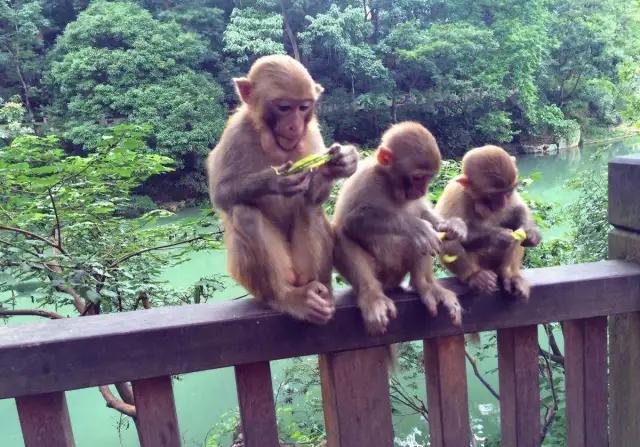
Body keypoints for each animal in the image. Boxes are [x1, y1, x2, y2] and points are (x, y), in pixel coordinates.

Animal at [206, 54, 358, 324]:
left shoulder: (312, 133)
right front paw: (274, 181)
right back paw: (286, 297)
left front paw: (341, 163)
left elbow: (315, 193)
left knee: (311, 207)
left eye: (304, 107)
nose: (294, 127)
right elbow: (221, 194)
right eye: (285, 107)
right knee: (245, 213)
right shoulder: (235, 132)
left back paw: (322, 293)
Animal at [332, 122, 466, 335]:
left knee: (423, 243)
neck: (389, 184)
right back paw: (372, 296)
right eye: (418, 178)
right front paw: (416, 226)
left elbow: (424, 213)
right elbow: (351, 221)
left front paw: (451, 225)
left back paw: (426, 286)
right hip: (379, 274)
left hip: (399, 271)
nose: (422, 190)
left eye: (429, 178)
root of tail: (389, 284)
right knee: (341, 232)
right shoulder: (364, 179)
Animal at [435, 145, 541, 300]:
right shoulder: (454, 193)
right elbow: (443, 228)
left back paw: (509, 274)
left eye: (509, 191)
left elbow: (518, 209)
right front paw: (499, 236)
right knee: (449, 240)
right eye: (493, 195)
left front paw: (532, 233)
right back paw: (475, 276)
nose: (503, 203)